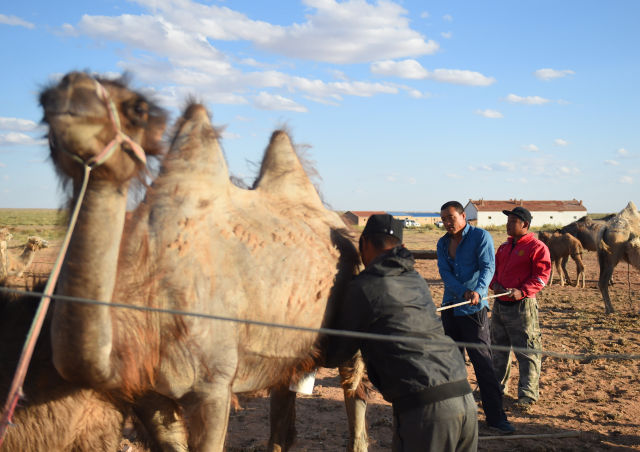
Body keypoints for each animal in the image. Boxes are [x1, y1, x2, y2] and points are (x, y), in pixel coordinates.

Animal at [41, 71, 364, 452]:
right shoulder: (149, 392)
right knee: (284, 397)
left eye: (137, 109)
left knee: (354, 389)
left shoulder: (213, 385)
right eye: (43, 101)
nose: (71, 93)